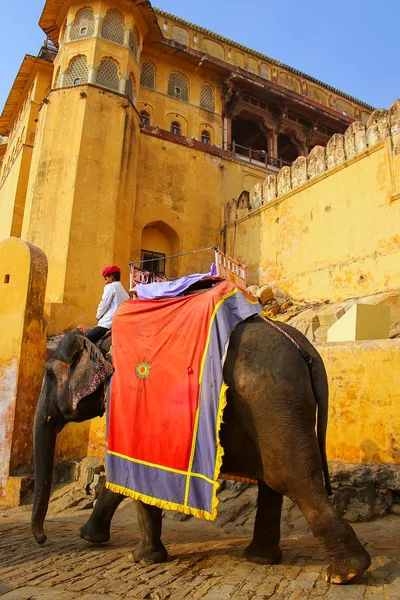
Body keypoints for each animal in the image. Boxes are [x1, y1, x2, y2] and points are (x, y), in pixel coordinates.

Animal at [32, 322, 372, 584]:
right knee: (273, 481)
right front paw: (92, 538)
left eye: (48, 374)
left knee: (292, 477)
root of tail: (306, 348)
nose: (43, 539)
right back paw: (261, 559)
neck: (103, 340)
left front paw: (135, 557)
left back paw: (346, 573)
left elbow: (130, 470)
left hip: (273, 400)